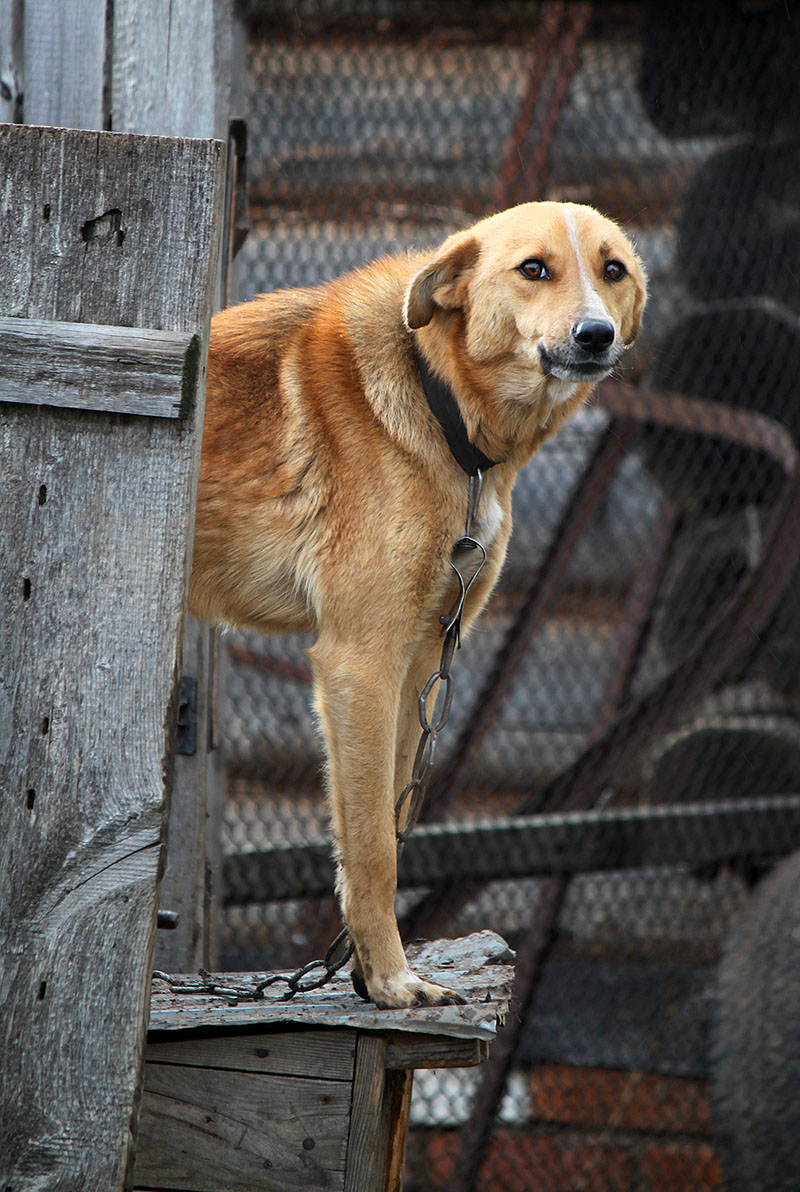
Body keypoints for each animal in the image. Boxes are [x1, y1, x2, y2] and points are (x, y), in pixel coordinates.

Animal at [190, 202, 648, 1006]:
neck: (441, 402)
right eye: (535, 269)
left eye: (613, 269)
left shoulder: (415, 667)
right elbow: (374, 844)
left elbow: (388, 825)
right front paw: (394, 981)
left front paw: (366, 975)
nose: (596, 335)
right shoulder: (359, 663)